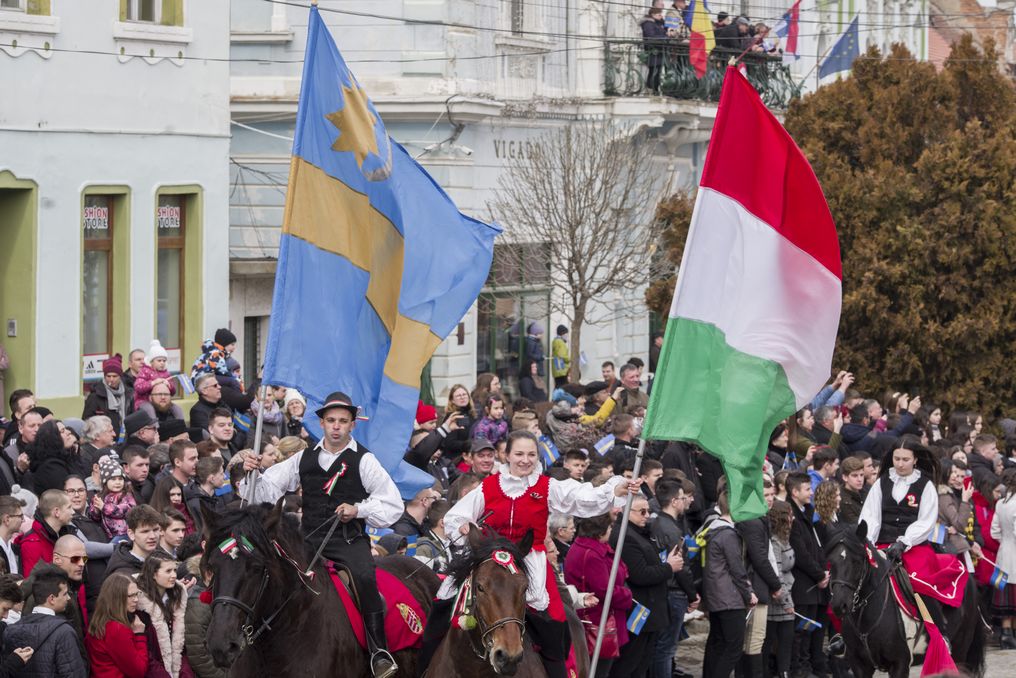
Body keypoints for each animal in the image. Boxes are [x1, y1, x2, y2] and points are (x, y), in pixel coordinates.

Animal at [824, 524, 983, 674]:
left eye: (857, 561)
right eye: (831, 562)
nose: (839, 605)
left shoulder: (900, 663)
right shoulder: (859, 664)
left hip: (960, 651)